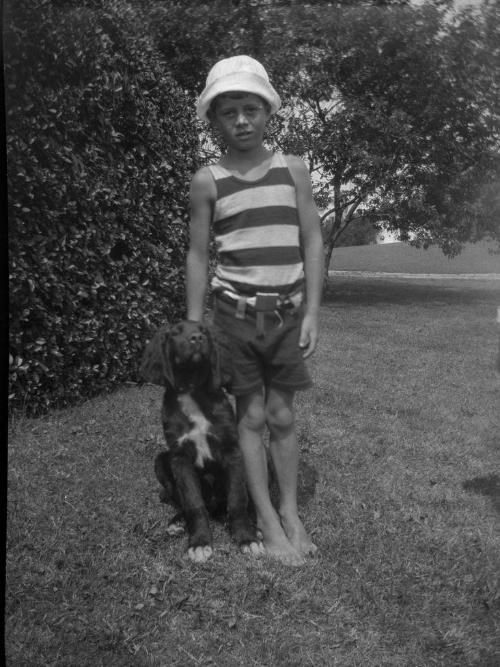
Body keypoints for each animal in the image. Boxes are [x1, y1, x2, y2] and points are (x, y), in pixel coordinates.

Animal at [141, 320, 262, 560]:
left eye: (204, 330)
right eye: (175, 333)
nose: (197, 338)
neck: (192, 389)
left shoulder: (232, 450)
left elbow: (237, 499)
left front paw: (246, 538)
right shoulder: (180, 457)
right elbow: (193, 503)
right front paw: (199, 542)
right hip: (161, 461)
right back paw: (177, 522)